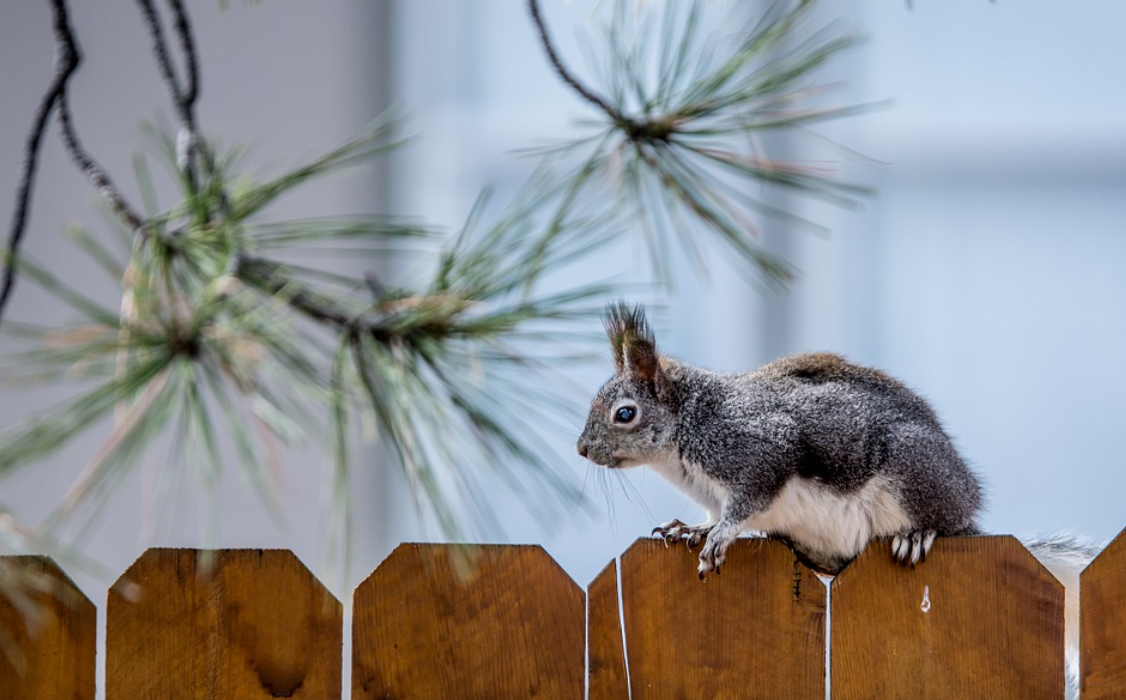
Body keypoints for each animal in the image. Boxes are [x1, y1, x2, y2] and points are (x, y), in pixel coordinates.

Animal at [581, 303, 1098, 697]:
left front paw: (720, 538)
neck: (689, 426)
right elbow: (714, 513)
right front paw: (695, 528)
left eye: (625, 414)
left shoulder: (757, 452)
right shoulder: (712, 491)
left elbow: (745, 504)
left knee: (940, 521)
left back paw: (919, 533)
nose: (582, 449)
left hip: (912, 473)